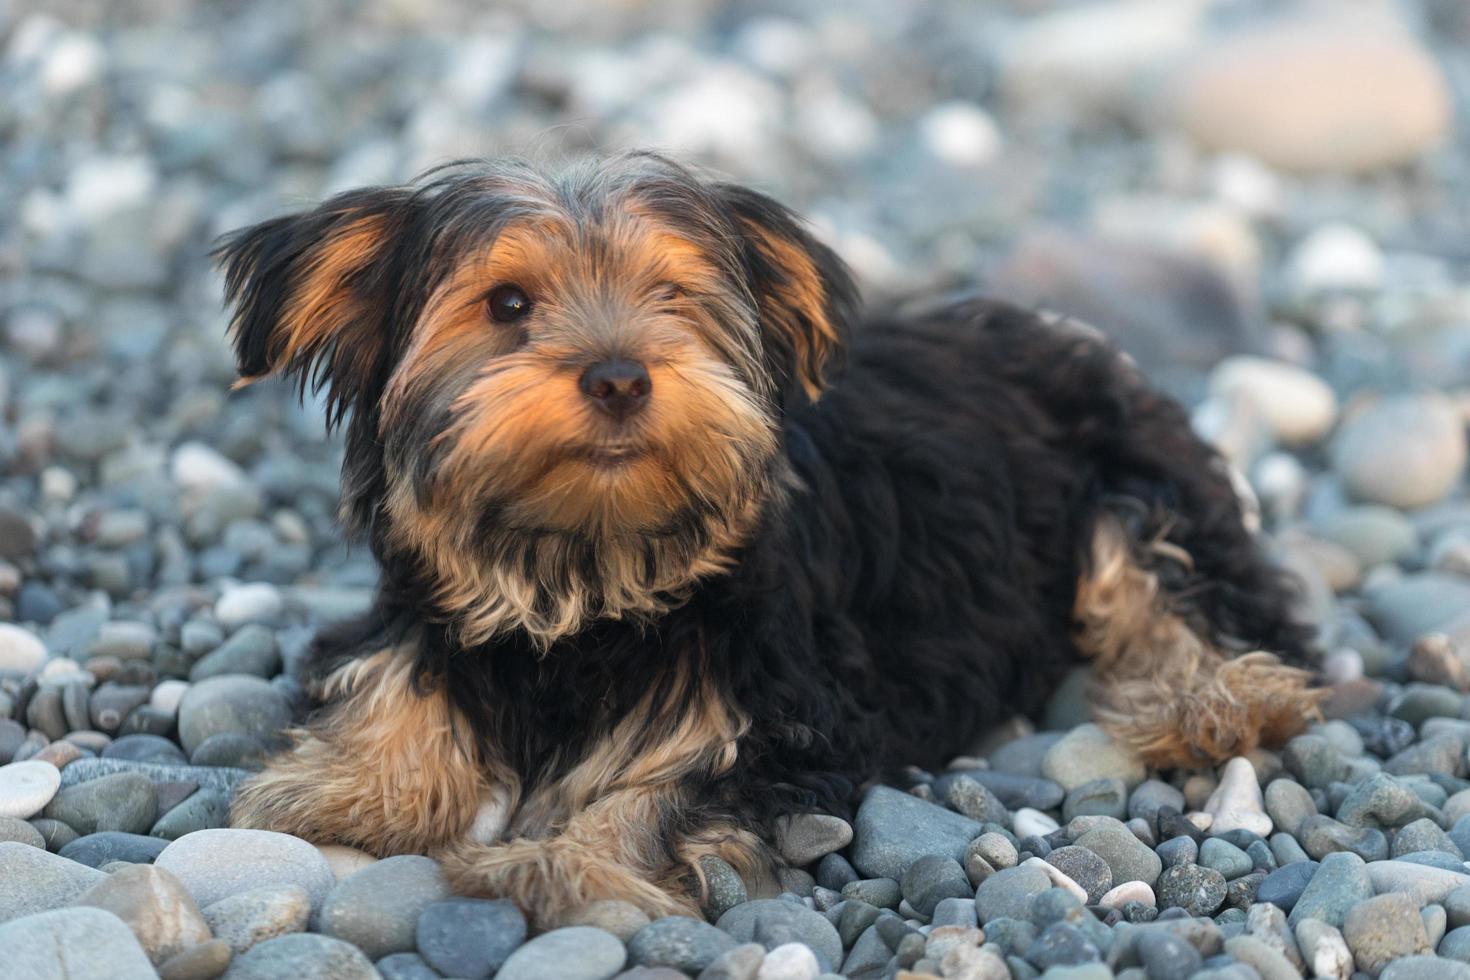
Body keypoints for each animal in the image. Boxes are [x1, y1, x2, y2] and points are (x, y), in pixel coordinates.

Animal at [214, 153, 1323, 928]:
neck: (587, 562)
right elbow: (394, 668)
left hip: (1126, 471)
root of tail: (1068, 336)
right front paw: (346, 784)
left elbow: (668, 791)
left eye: (672, 297)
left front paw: (560, 862)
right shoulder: (436, 602)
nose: (619, 374)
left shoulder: (777, 701)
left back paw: (1214, 698)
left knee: (1178, 577)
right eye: (508, 304)